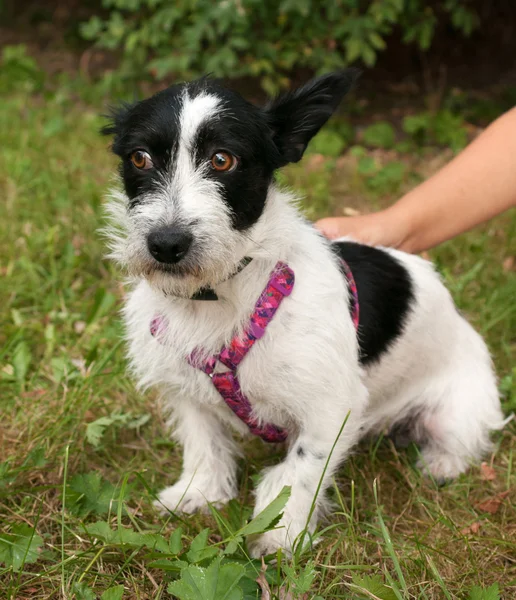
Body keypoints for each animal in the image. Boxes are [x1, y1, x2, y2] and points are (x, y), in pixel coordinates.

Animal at [103, 71, 506, 556]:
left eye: (222, 159)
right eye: (139, 157)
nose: (165, 244)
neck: (218, 296)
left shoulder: (331, 408)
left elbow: (297, 472)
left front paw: (280, 536)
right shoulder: (186, 388)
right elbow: (203, 442)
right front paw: (198, 493)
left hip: (457, 407)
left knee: (462, 436)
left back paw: (441, 463)